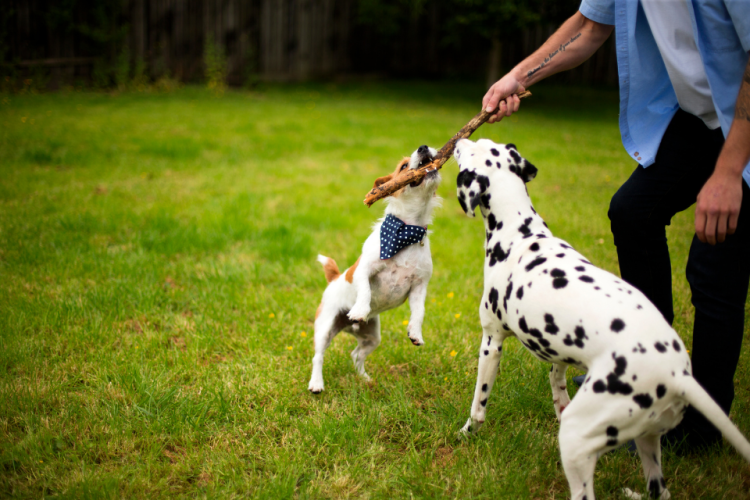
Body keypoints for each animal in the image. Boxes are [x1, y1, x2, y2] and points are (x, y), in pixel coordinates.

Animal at [308, 146, 444, 394]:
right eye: (402, 166)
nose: (423, 147)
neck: (406, 232)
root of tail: (334, 278)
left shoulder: (419, 286)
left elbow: (419, 312)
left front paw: (415, 333)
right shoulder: (364, 270)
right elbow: (365, 290)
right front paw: (360, 309)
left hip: (372, 337)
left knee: (356, 355)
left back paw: (364, 379)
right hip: (325, 327)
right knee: (318, 357)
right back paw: (316, 383)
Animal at [452, 138, 750, 500]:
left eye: (473, 148)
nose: (458, 140)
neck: (519, 233)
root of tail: (678, 375)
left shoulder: (491, 343)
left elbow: (479, 403)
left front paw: (467, 431)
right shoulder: (558, 349)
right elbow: (557, 380)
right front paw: (559, 400)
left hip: (577, 440)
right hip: (647, 439)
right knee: (659, 491)